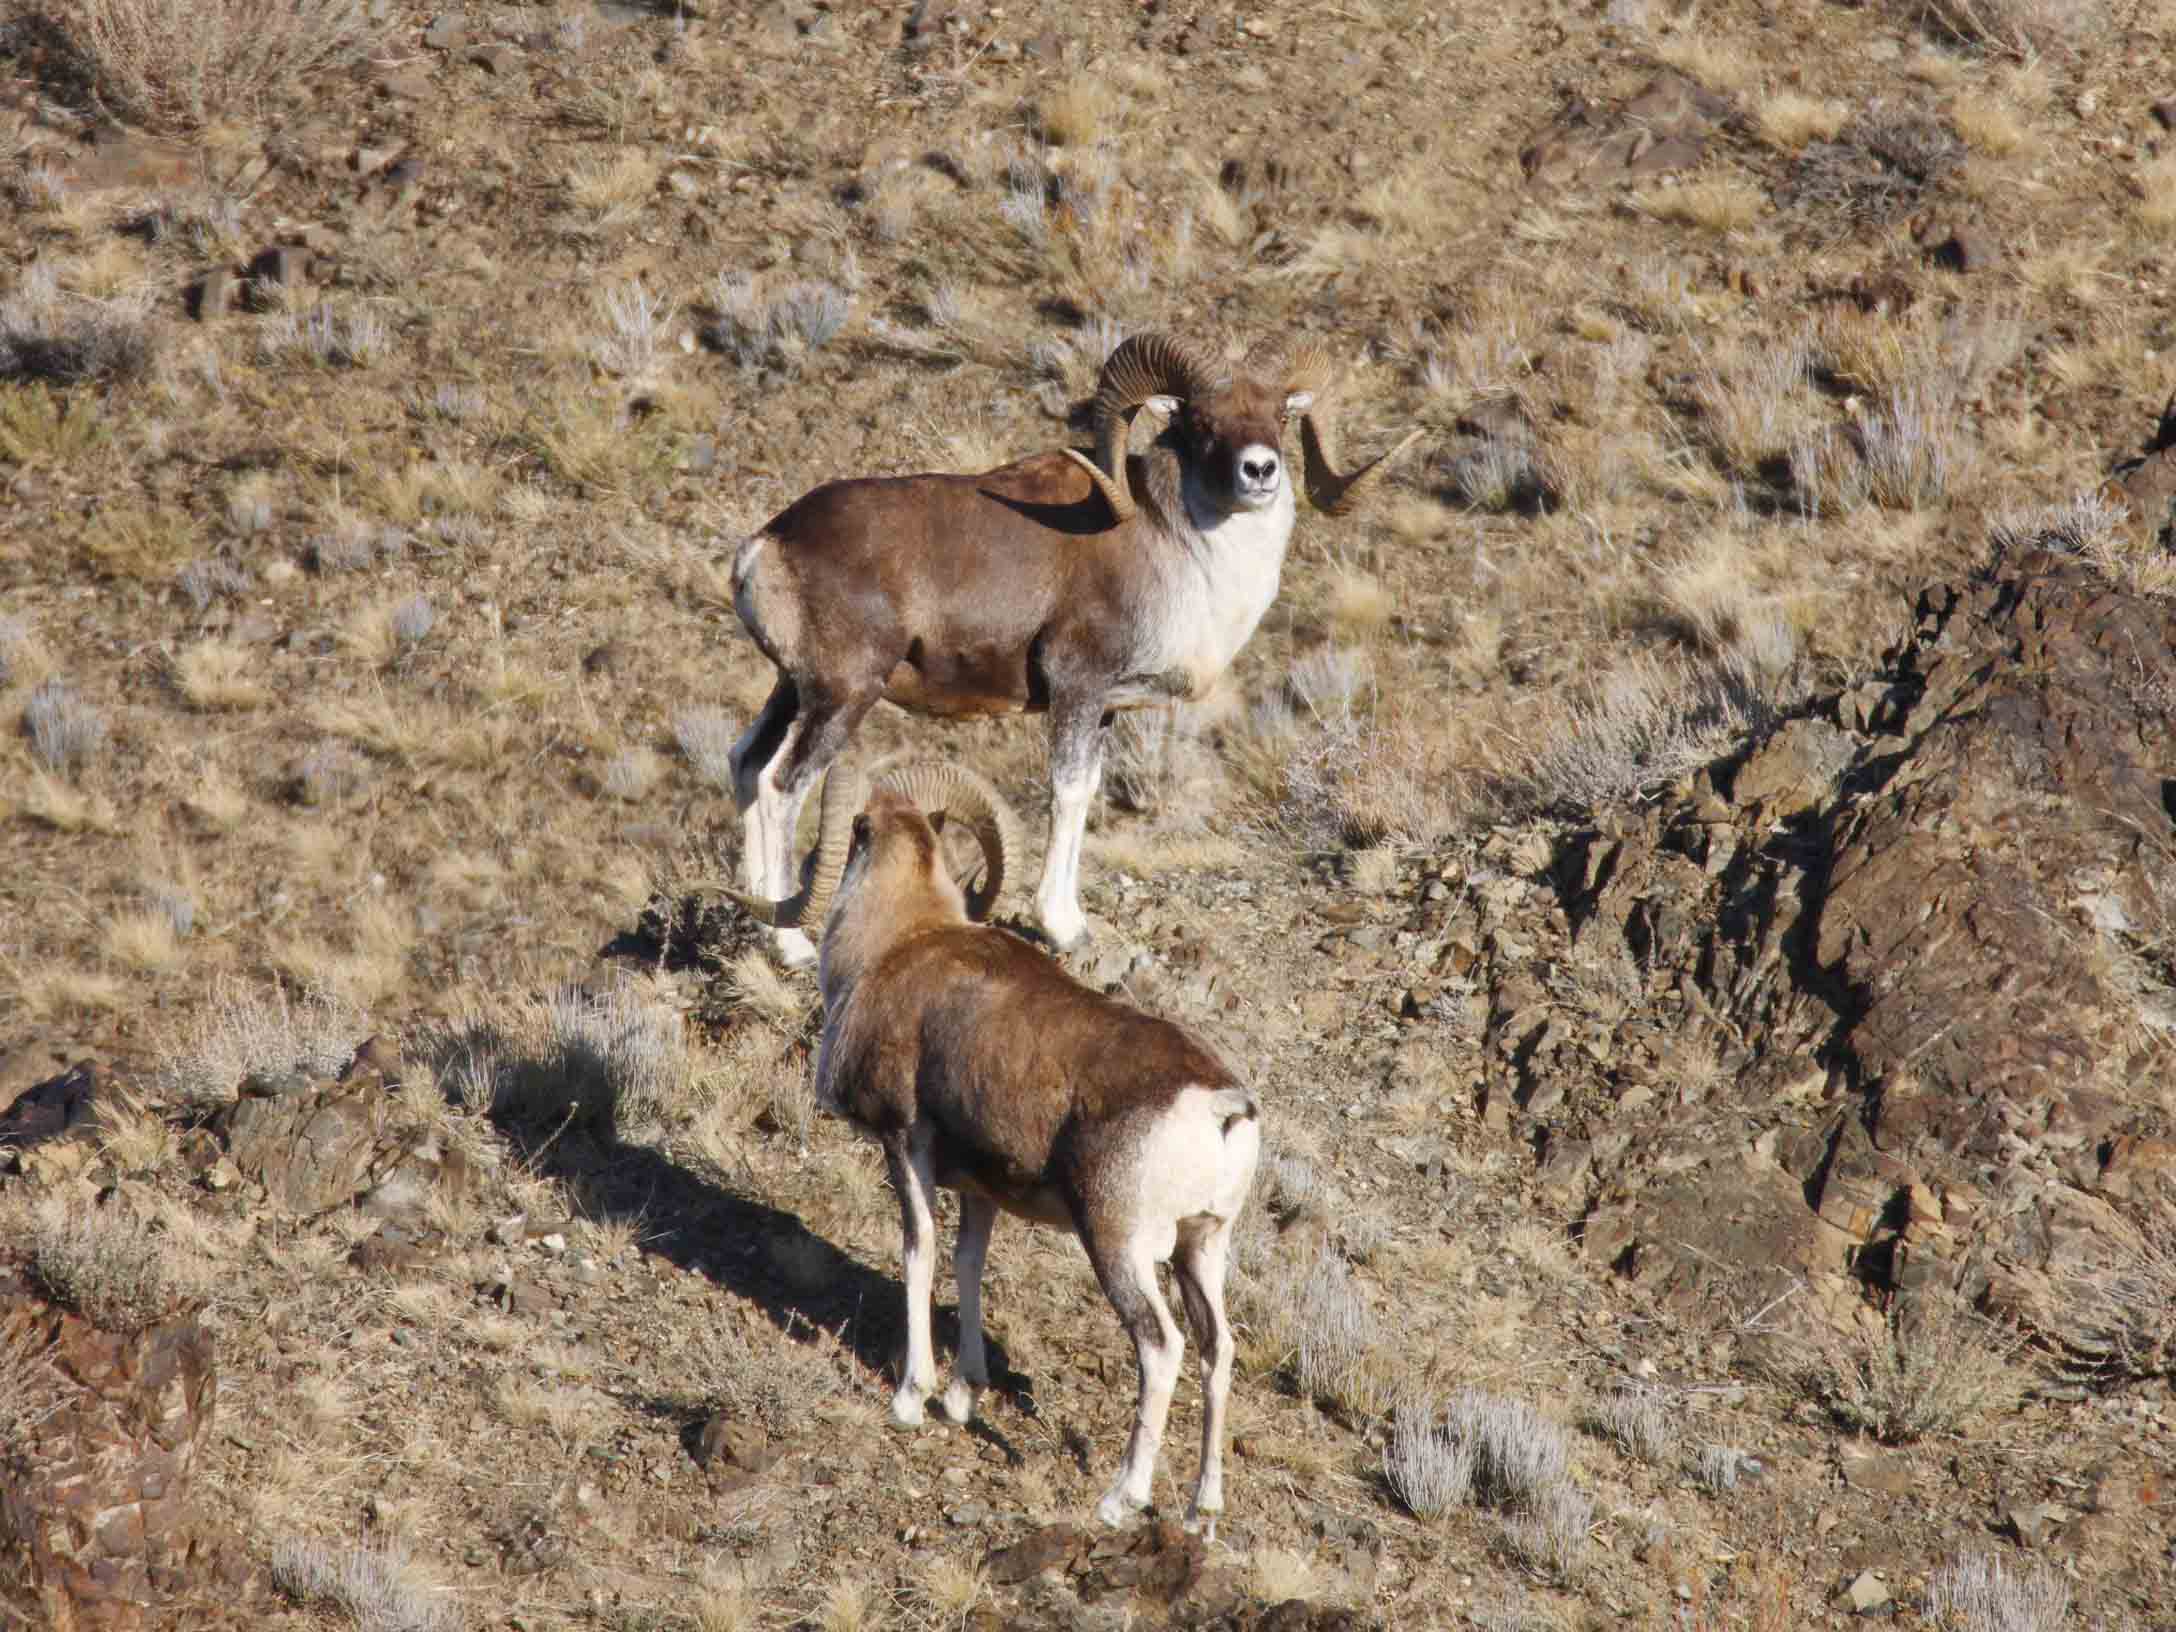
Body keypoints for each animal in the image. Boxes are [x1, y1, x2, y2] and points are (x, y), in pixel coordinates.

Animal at [735, 765, 1262, 1531]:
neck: (896, 944)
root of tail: (1222, 1108)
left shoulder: (906, 1145)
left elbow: (920, 1251)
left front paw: (911, 1399)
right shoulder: (982, 1192)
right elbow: (968, 1265)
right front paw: (961, 1397)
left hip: (1120, 1247)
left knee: (1162, 1349)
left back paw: (1120, 1500)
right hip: (1202, 1248)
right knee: (1218, 1351)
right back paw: (1201, 1511)